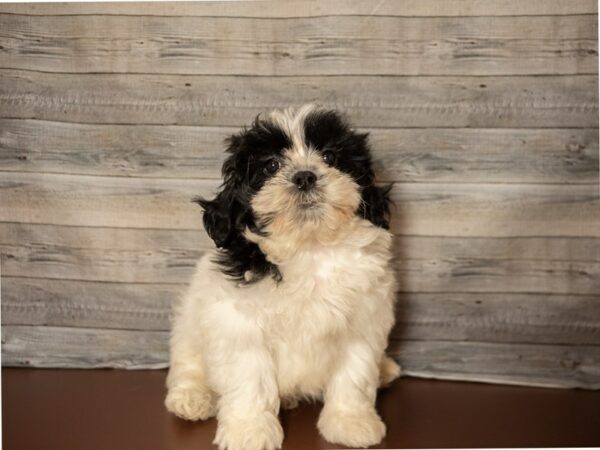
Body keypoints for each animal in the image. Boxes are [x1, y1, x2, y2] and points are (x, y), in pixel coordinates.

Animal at [165, 103, 398, 448]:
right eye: (271, 165)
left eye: (329, 156)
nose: (304, 176)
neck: (309, 247)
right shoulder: (240, 325)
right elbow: (250, 380)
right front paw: (249, 432)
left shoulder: (363, 321)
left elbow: (353, 375)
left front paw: (350, 423)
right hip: (189, 323)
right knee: (187, 362)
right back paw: (191, 397)